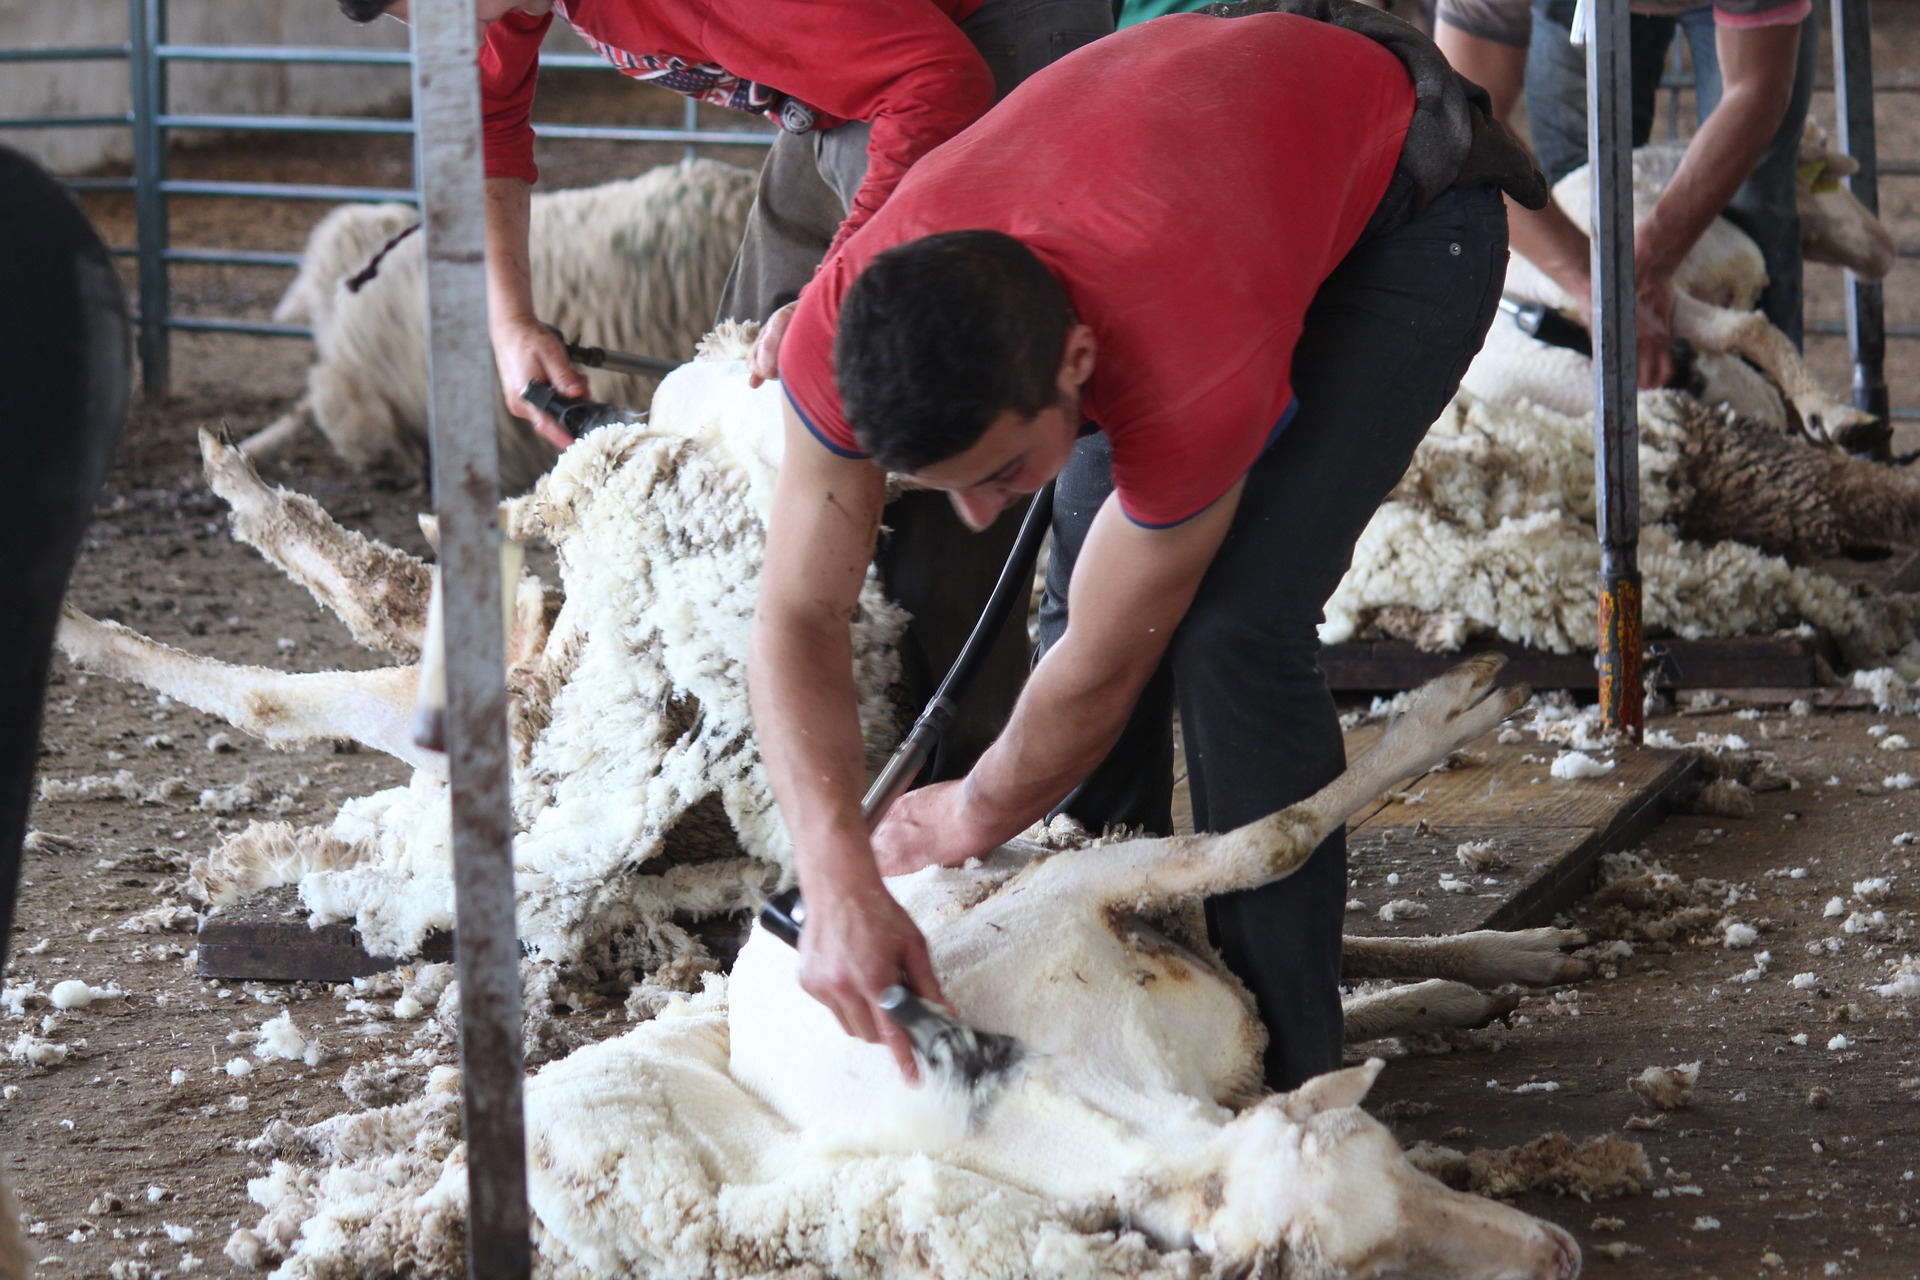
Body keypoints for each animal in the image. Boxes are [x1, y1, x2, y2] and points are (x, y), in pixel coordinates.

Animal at [522, 656, 1574, 1274]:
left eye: (1396, 1158)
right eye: (1377, 1269)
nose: (1559, 1255)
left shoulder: (1092, 883)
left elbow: (1269, 841)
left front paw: (1449, 714)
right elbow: (1275, 857)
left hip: (1033, 854)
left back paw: (1507, 951)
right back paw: (1459, 989)